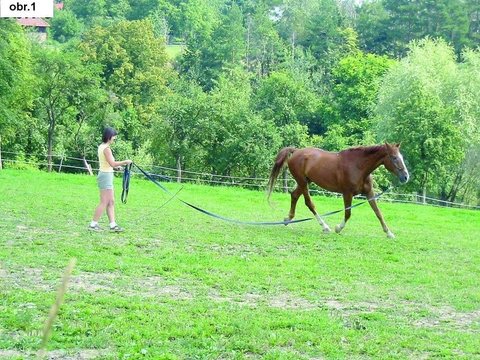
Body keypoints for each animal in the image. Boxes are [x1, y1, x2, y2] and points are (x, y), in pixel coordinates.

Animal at [266, 142, 408, 238]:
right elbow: (348, 213)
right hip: (302, 182)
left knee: (294, 195)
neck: (359, 166)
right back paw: (325, 227)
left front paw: (389, 233)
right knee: (309, 203)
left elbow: (378, 212)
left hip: (305, 182)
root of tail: (296, 151)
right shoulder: (347, 194)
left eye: (401, 156)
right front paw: (338, 228)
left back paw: (288, 219)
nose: (406, 177)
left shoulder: (369, 193)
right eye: (394, 157)